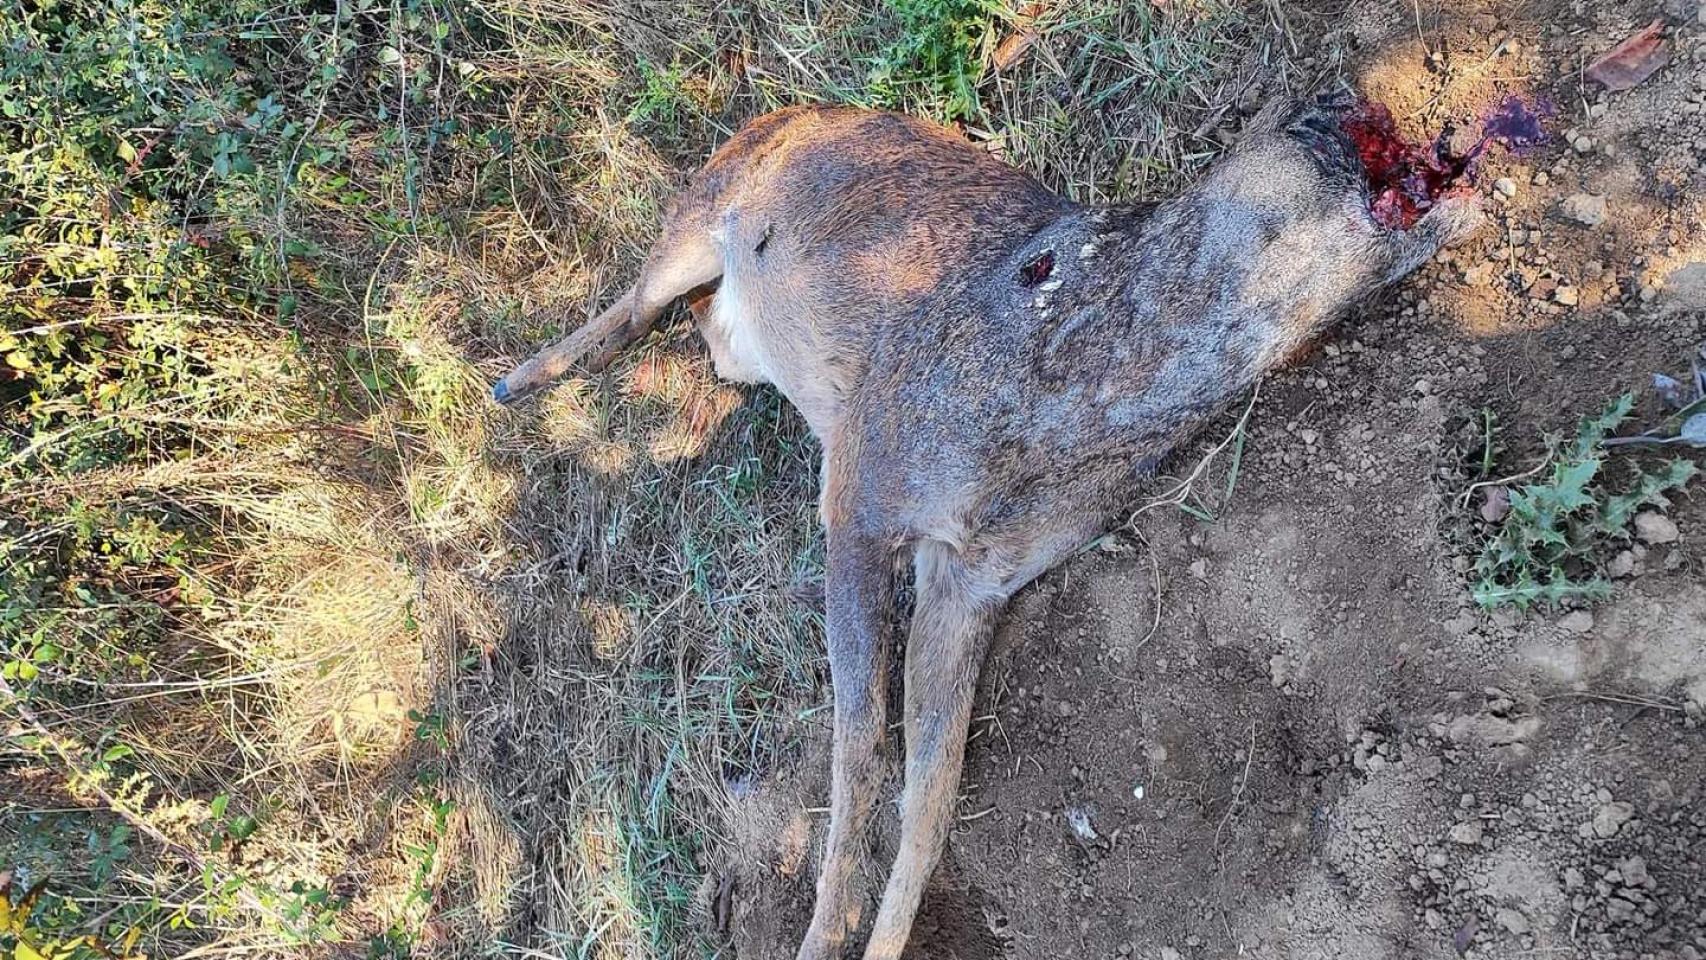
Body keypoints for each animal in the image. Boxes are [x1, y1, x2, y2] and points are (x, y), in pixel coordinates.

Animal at [494, 92, 1480, 960]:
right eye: (1302, 122)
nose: (1349, 98)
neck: (1073, 409)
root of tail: (778, 114)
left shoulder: (974, 580)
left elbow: (931, 798)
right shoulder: (860, 483)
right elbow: (861, 750)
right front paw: (819, 938)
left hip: (734, 327)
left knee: (694, 324)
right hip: (704, 209)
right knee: (638, 298)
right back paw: (516, 379)